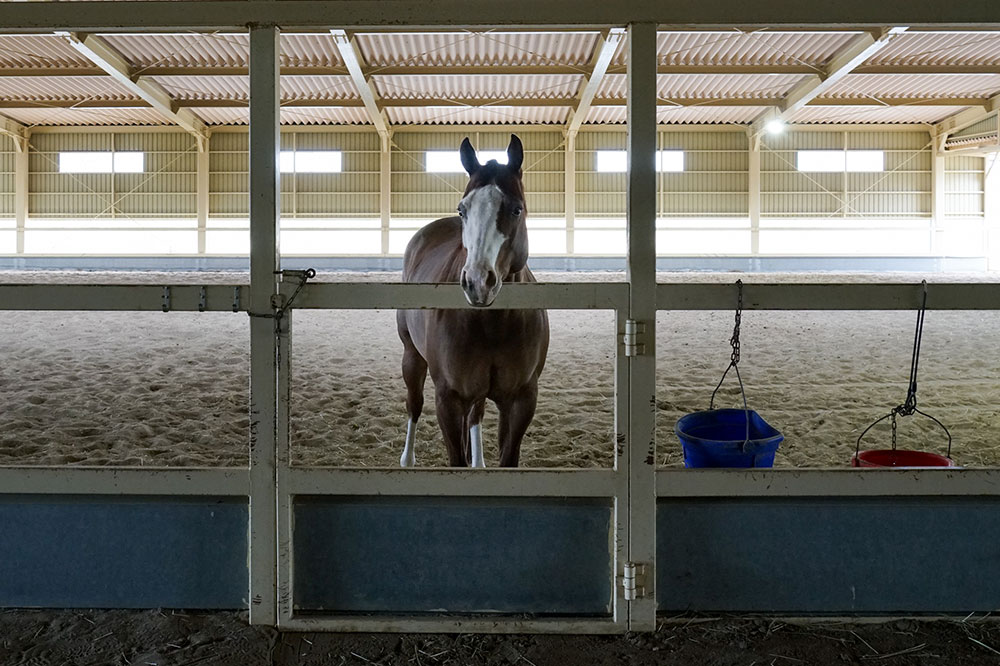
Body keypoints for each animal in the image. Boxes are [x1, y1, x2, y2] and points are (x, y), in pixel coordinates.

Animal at [396, 135, 552, 466]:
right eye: (462, 209)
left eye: (516, 209)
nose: (478, 282)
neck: (493, 325)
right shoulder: (449, 399)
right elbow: (457, 458)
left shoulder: (521, 401)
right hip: (412, 357)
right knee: (414, 404)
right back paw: (407, 459)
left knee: (476, 415)